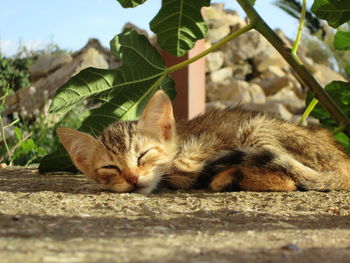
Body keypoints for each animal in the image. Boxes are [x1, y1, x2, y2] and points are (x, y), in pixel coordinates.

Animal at [56, 90, 350, 194]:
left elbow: (180, 171)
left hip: (255, 128)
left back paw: (227, 177)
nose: (131, 178)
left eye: (143, 155)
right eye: (110, 168)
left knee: (288, 180)